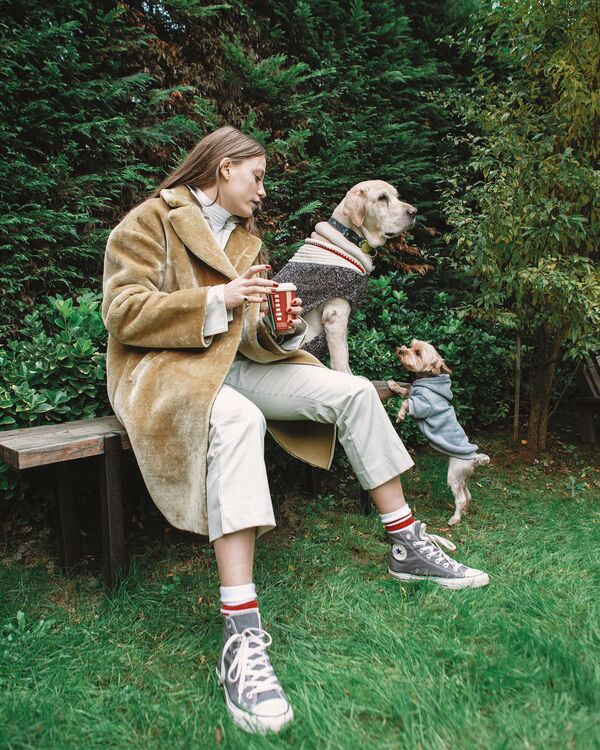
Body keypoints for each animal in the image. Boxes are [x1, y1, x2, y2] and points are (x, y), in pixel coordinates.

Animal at [274, 180, 417, 373]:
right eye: (382, 198)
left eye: (397, 196)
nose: (414, 212)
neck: (348, 236)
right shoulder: (335, 315)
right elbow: (341, 358)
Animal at [388, 339, 490, 526]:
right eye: (411, 345)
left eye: (418, 352)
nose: (401, 350)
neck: (427, 379)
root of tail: (474, 458)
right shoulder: (413, 393)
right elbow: (406, 391)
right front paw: (394, 385)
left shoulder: (422, 405)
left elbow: (407, 402)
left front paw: (400, 415)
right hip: (463, 477)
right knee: (468, 495)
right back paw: (464, 513)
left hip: (454, 475)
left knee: (461, 498)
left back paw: (454, 519)